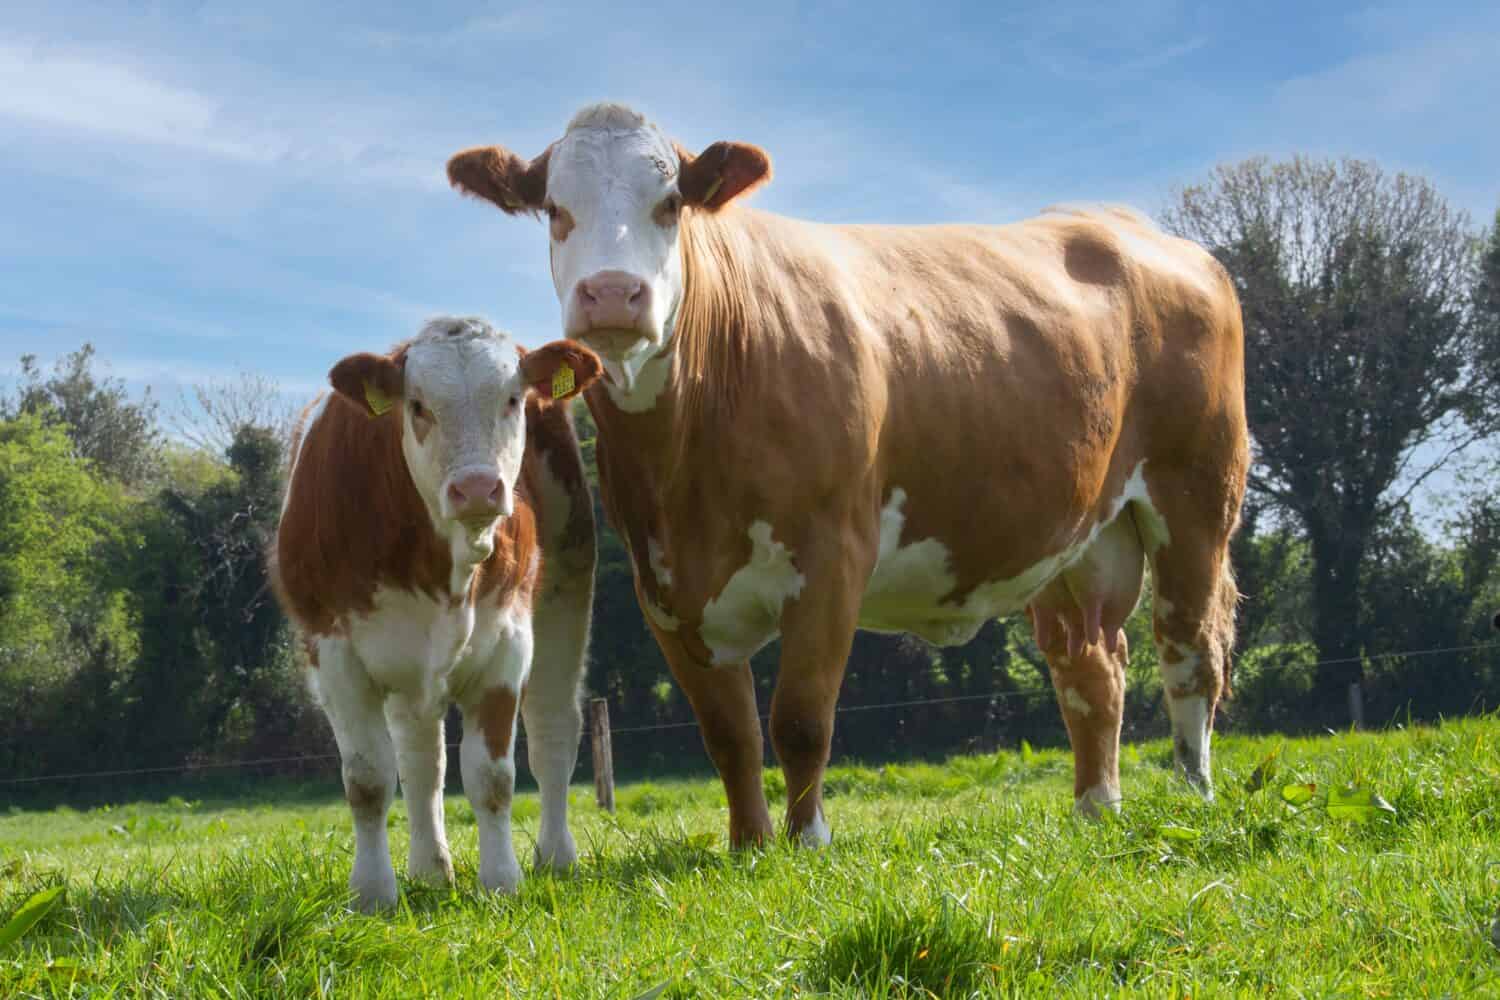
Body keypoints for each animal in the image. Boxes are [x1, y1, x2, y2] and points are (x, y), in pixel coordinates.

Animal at [273, 316, 600, 911]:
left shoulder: (507, 644)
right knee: (421, 762)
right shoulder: (333, 652)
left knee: (553, 731)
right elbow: (370, 779)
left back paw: (556, 857)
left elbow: (492, 775)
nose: (477, 488)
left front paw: (502, 880)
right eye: (418, 405)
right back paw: (430, 870)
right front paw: (373, 892)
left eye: (513, 398)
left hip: (567, 591)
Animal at [447, 107, 1254, 845]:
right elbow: (730, 733)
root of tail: (1132, 225)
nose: (612, 293)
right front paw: (749, 845)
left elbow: (800, 719)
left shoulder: (832, 555)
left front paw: (807, 842)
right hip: (1075, 534)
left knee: (1189, 650)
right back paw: (1096, 807)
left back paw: (1193, 796)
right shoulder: (664, 588)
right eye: (556, 208)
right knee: (1091, 667)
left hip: (1195, 499)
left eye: (671, 202)